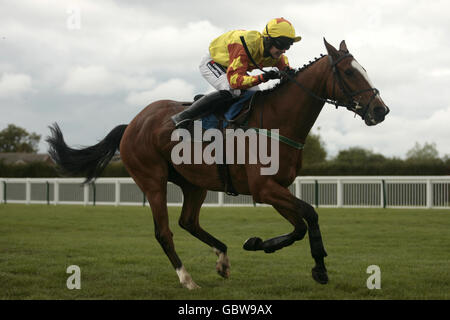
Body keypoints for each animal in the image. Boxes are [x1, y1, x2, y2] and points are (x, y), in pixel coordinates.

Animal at [46, 39, 390, 290]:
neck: (277, 122)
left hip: (193, 183)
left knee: (188, 222)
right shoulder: (264, 189)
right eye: (350, 73)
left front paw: (260, 244)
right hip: (152, 180)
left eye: (364, 69)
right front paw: (317, 266)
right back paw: (187, 279)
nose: (380, 110)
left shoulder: (275, 187)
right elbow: (309, 215)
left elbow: (300, 225)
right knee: (164, 232)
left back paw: (222, 257)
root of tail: (131, 124)